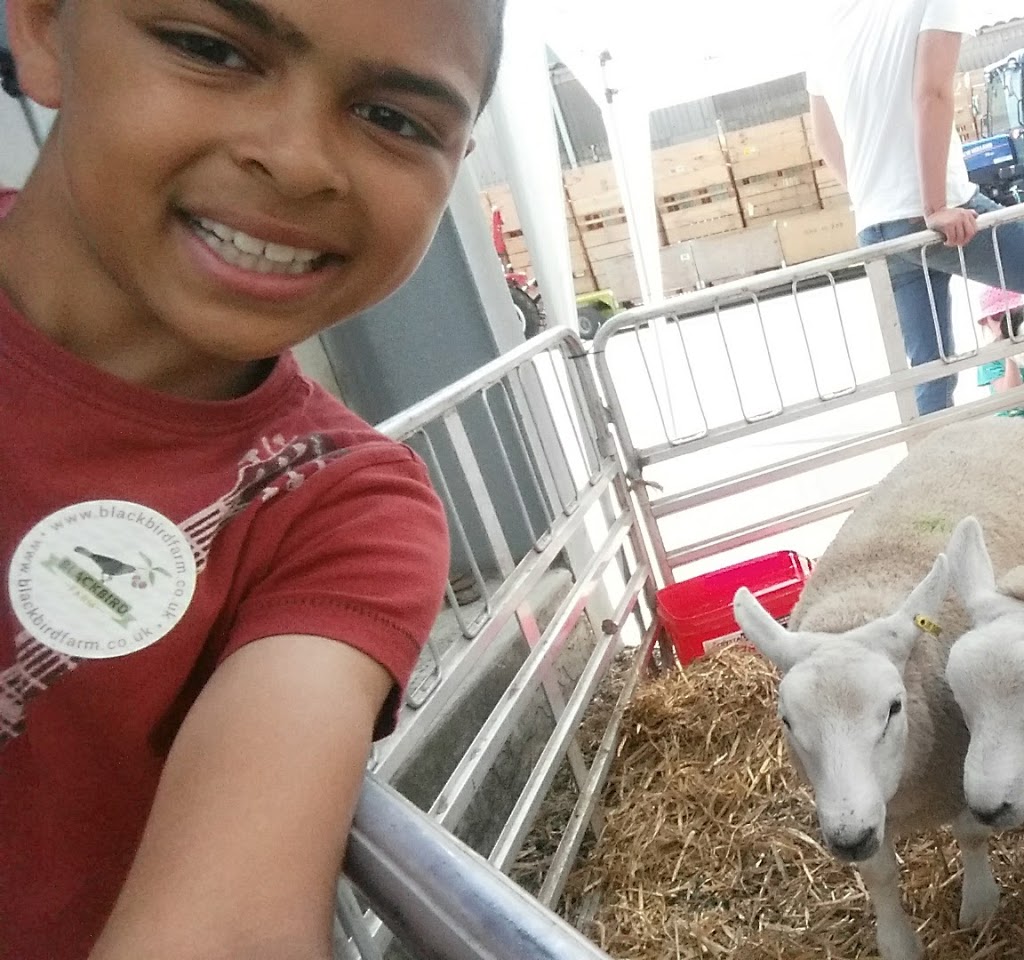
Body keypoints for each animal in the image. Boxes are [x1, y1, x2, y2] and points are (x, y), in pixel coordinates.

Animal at [731, 416, 1024, 960]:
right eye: (787, 721)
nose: (848, 839)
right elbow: (879, 874)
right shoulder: (856, 806)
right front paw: (897, 941)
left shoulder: (959, 774)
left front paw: (979, 907)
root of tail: (986, 420)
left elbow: (971, 836)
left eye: (893, 709)